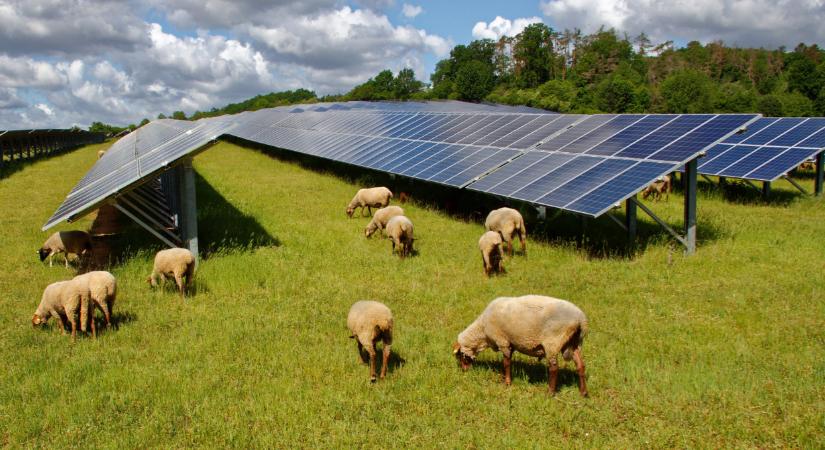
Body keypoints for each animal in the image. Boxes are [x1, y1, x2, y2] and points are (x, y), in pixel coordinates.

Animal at [454, 296, 588, 398]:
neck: (482, 331)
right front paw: (504, 378)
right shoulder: (511, 343)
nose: (464, 370)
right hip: (574, 343)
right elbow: (507, 361)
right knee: (580, 365)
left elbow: (506, 363)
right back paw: (583, 393)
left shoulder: (503, 341)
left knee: (554, 368)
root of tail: (580, 319)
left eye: (460, 355)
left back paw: (550, 392)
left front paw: (507, 383)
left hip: (553, 342)